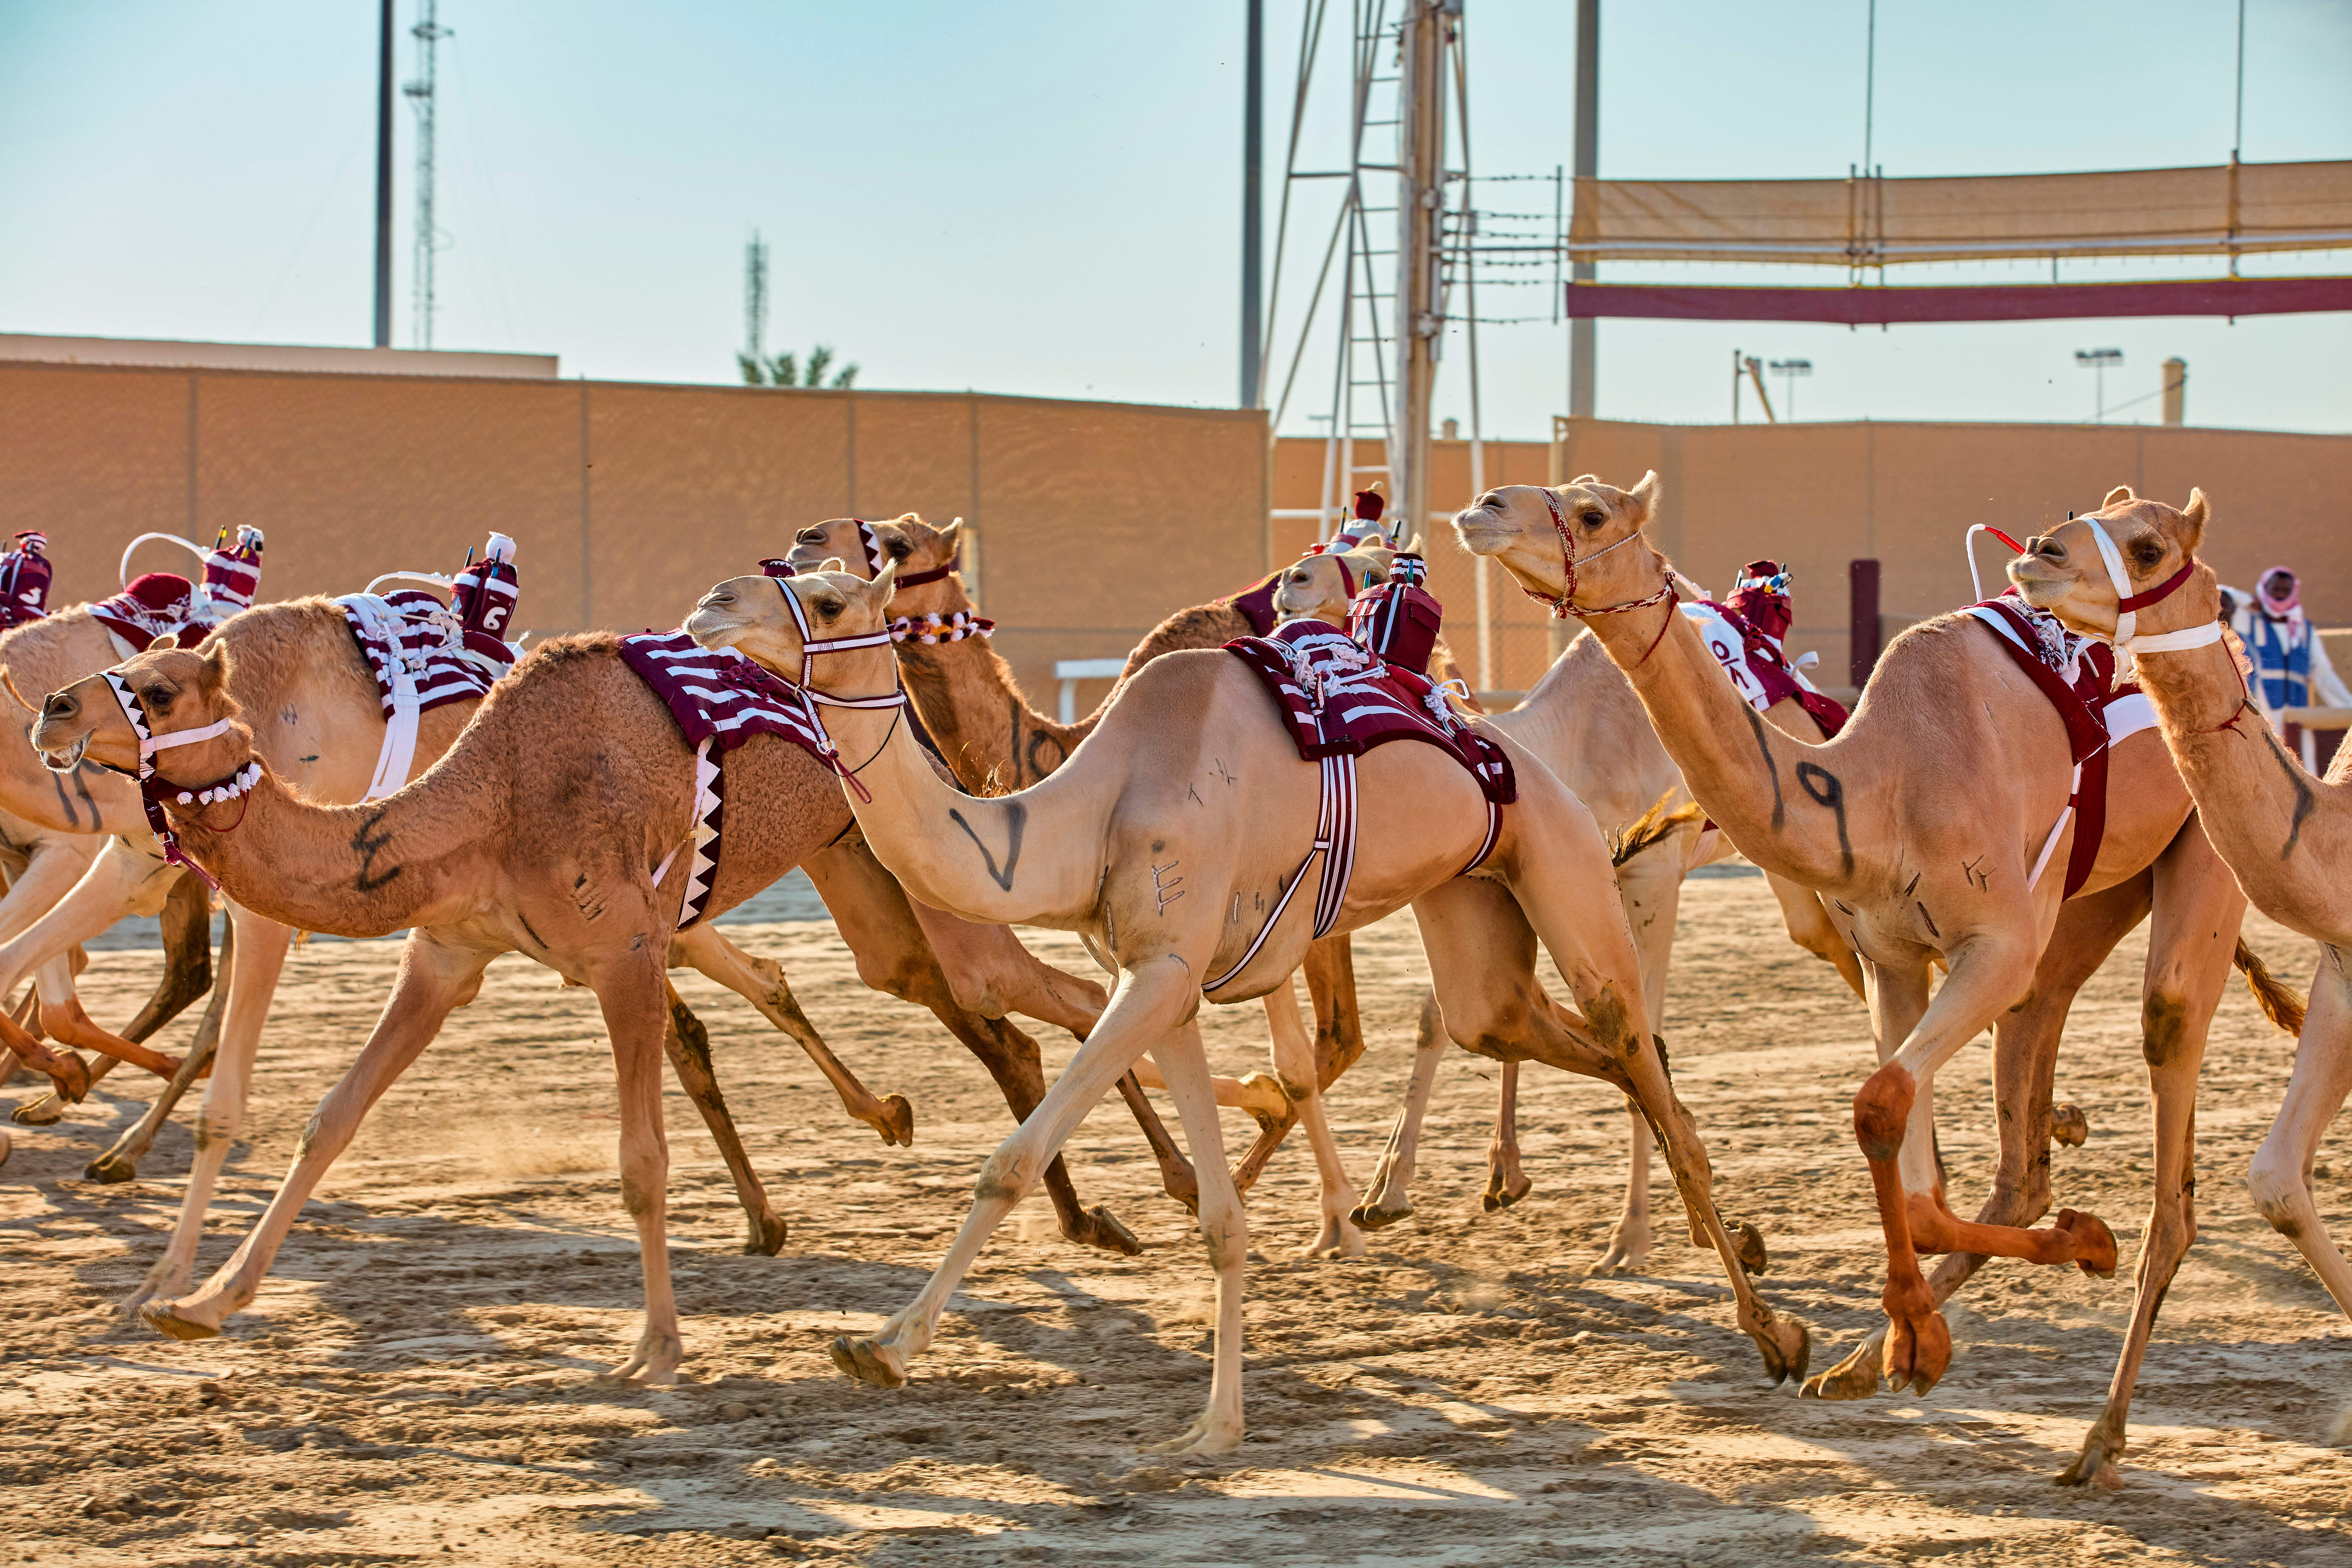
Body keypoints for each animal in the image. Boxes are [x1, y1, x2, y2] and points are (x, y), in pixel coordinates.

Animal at [685, 561, 1811, 1454]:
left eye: (830, 595)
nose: (707, 605)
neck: (1084, 805)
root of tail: (1518, 748)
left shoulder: (1158, 974)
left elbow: (1012, 1159)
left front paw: (883, 1347)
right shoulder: (1167, 984)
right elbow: (1221, 1214)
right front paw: (1216, 1422)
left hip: (1568, 863)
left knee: (1633, 1039)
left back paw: (1772, 1328)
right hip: (1476, 920)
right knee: (1547, 1036)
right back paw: (1713, 1243)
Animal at [1455, 473, 2303, 1487]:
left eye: (1589, 513)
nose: (1483, 508)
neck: (1877, 782)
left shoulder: (1990, 942)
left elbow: (1878, 1106)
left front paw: (1956, 1314)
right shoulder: (1894, 956)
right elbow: (1908, 1166)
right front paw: (1908, 1343)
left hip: (2205, 848)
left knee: (2166, 1081)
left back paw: (2099, 1427)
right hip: (2085, 904)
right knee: (2022, 1144)